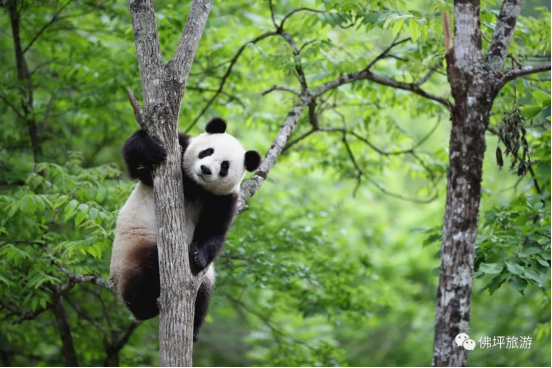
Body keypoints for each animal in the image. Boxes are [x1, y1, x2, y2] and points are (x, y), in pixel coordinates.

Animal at [111, 118, 262, 342]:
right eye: (207, 151)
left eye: (224, 166)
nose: (206, 169)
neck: (196, 185)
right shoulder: (177, 154)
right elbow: (135, 162)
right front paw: (152, 150)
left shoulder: (224, 200)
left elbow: (214, 230)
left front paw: (198, 256)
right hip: (133, 246)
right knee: (141, 274)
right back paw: (146, 306)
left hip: (203, 278)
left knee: (202, 294)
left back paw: (193, 330)